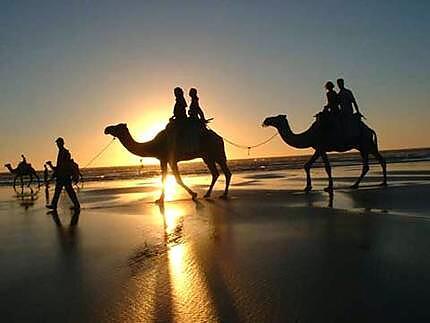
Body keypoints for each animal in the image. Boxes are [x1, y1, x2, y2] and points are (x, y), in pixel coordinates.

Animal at [104, 123, 232, 202]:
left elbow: (175, 179)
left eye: (117, 127)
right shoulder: (163, 159)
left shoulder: (170, 159)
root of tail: (219, 137)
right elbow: (165, 178)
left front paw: (193, 194)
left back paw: (224, 194)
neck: (153, 145)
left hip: (216, 152)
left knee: (226, 172)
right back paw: (207, 194)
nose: (106, 129)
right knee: (215, 173)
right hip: (207, 156)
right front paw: (160, 199)